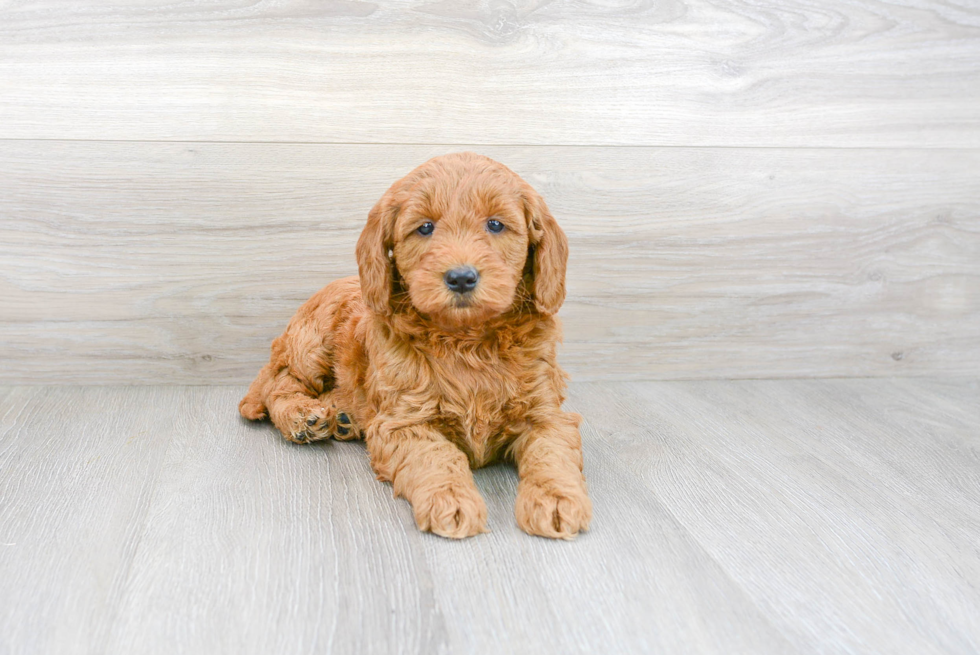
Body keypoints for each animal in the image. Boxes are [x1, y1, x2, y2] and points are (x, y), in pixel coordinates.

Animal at [239, 151, 588, 540]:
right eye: (425, 228)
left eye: (496, 225)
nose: (461, 278)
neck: (467, 340)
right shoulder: (404, 421)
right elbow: (436, 455)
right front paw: (450, 499)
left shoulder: (546, 414)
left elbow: (551, 453)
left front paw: (556, 499)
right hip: (313, 340)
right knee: (279, 382)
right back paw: (303, 416)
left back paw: (343, 417)